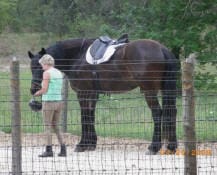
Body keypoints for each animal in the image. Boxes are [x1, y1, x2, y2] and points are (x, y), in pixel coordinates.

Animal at [28, 38, 178, 153]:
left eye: (41, 67)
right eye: (31, 67)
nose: (34, 89)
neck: (78, 56)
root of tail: (162, 49)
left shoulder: (83, 93)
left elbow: (84, 116)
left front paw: (82, 145)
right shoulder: (93, 94)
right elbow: (90, 116)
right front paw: (91, 143)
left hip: (149, 91)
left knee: (157, 113)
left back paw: (154, 147)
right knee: (171, 112)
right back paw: (171, 146)